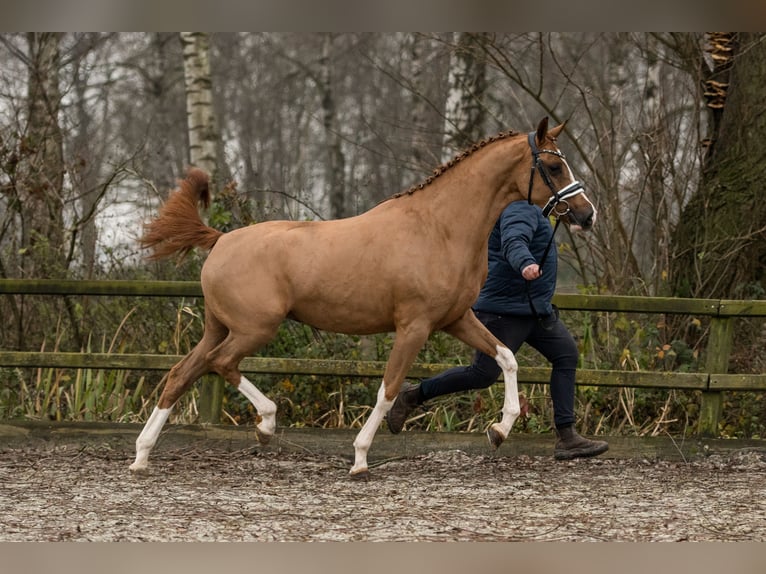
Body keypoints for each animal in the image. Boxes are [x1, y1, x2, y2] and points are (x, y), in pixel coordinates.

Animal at [130, 118, 600, 482]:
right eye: (554, 166)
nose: (587, 215)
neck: (439, 228)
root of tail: (220, 239)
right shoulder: (413, 327)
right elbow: (388, 389)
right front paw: (359, 459)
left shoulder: (456, 319)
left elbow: (507, 358)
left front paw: (499, 430)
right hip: (253, 328)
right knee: (221, 364)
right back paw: (265, 424)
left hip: (219, 327)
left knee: (181, 373)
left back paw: (141, 455)